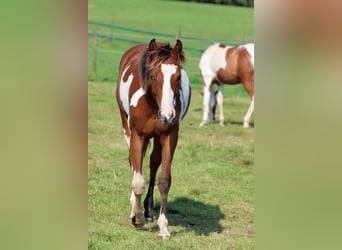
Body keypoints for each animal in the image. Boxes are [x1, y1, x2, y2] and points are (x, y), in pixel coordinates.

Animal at [116, 38, 191, 236]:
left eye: (178, 77)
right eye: (152, 76)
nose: (167, 115)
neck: (152, 104)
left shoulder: (169, 136)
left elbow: (164, 180)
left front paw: (163, 226)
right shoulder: (137, 135)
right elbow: (137, 180)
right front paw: (136, 218)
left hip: (157, 138)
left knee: (153, 163)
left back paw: (148, 211)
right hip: (127, 129)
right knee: (136, 163)